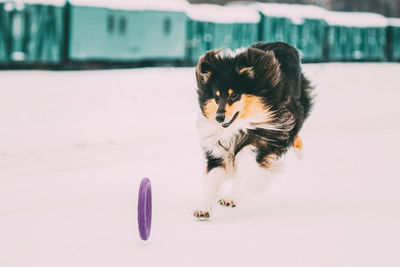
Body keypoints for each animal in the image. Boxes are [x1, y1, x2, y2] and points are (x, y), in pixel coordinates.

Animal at [194, 42, 312, 221]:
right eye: (216, 97)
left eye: (234, 94)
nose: (219, 118)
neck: (240, 126)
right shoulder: (218, 151)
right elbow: (211, 180)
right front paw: (203, 208)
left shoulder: (268, 135)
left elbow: (247, 161)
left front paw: (230, 197)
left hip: (297, 108)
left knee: (296, 132)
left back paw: (301, 153)